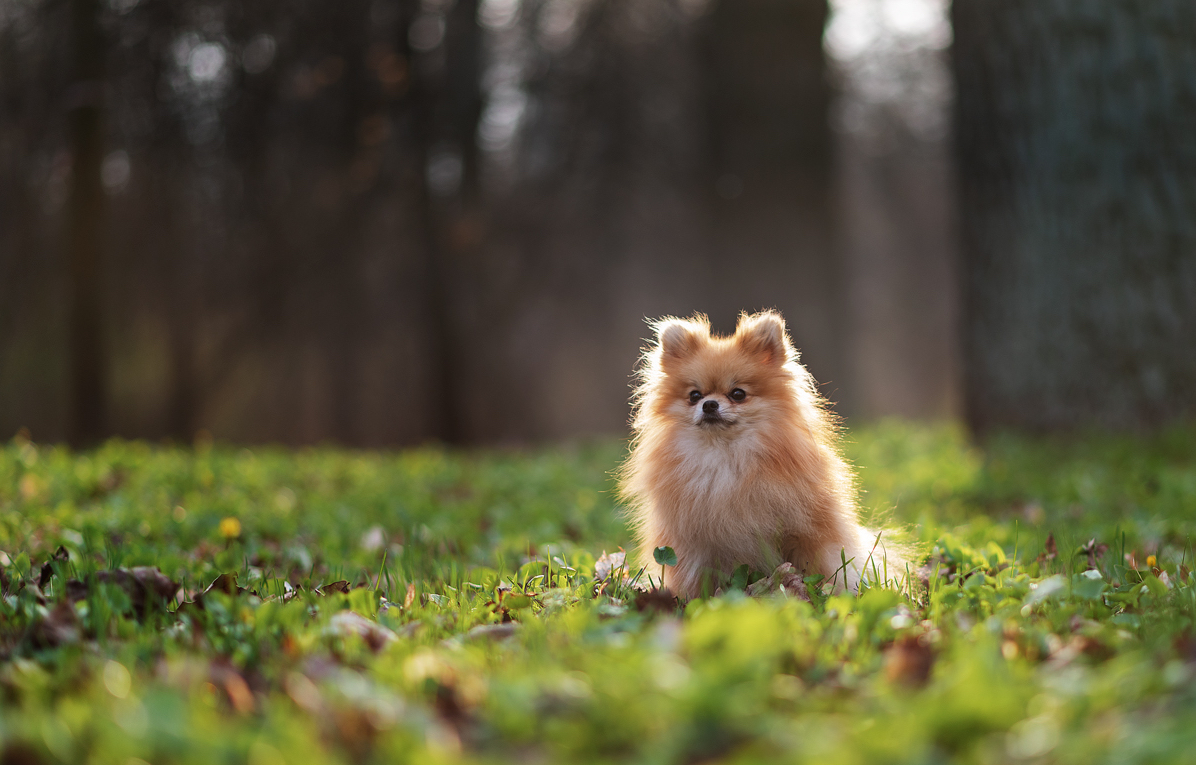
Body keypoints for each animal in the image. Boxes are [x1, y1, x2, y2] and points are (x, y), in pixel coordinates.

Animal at [617, 310, 904, 597]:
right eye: (694, 395)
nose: (709, 404)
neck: (726, 454)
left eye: (738, 394)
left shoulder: (804, 530)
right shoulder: (697, 543)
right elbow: (697, 579)